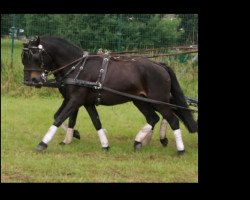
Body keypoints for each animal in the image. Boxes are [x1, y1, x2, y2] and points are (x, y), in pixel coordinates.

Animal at [22, 35, 197, 153]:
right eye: (23, 58)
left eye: (35, 56)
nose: (32, 80)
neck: (78, 67)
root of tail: (160, 65)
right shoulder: (83, 101)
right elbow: (93, 121)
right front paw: (102, 144)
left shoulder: (76, 99)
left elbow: (59, 118)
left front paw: (43, 144)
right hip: (140, 101)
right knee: (154, 118)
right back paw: (139, 142)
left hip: (159, 100)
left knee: (172, 119)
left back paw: (179, 149)